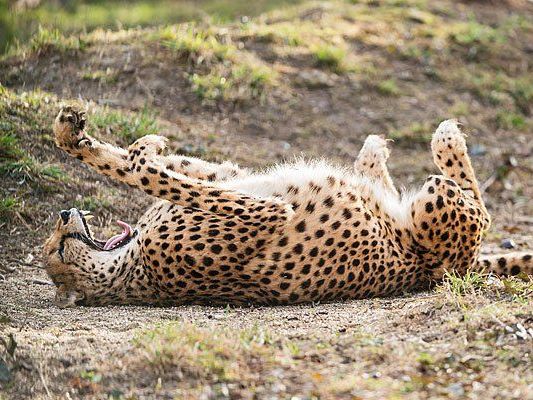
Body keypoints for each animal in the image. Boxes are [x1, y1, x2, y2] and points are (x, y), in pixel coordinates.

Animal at [43, 106, 528, 306]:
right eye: (57, 250)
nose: (64, 215)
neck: (126, 268)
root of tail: (440, 272)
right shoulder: (270, 211)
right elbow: (144, 172)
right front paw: (140, 149)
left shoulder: (229, 180)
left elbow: (140, 164)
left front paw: (80, 135)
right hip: (433, 205)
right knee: (471, 199)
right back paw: (443, 136)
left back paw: (373, 152)